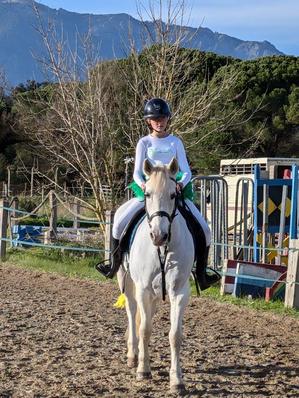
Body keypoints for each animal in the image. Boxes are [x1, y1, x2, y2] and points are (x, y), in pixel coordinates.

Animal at [118, 158, 196, 392]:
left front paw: (177, 380)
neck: (162, 250)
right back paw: (133, 355)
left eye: (173, 195)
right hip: (128, 282)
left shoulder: (179, 292)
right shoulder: (142, 289)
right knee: (132, 312)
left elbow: (175, 335)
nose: (159, 236)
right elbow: (145, 329)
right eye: (148, 194)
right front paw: (143, 370)